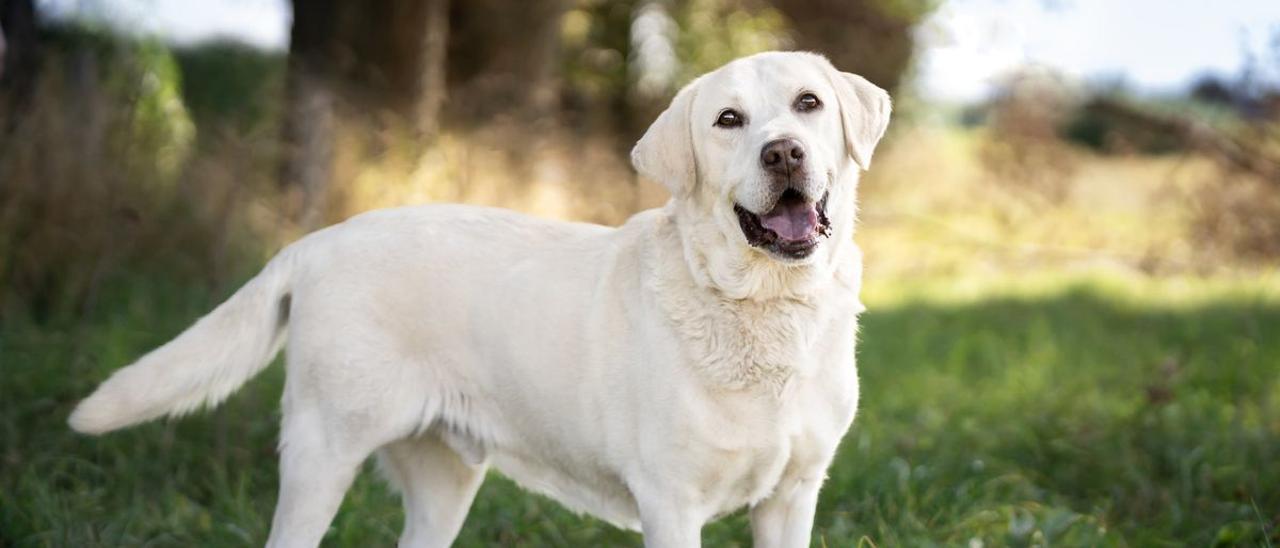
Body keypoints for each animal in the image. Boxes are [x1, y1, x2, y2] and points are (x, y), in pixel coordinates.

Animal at [70, 49, 890, 545]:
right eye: (728, 121)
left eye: (808, 104)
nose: (783, 152)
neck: (762, 309)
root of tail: (316, 242)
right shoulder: (671, 503)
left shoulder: (793, 497)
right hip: (321, 452)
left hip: (444, 480)